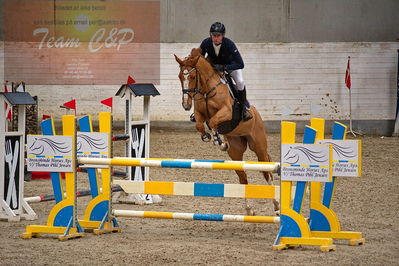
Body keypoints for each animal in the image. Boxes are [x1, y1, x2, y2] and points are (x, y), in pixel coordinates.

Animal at [175, 48, 282, 214]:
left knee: (267, 173)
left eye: (192, 76)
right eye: (180, 76)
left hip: (259, 147)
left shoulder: (226, 112)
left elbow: (213, 122)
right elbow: (200, 125)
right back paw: (249, 210)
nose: (186, 105)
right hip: (236, 152)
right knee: (243, 177)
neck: (206, 89)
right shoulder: (200, 114)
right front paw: (209, 137)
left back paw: (276, 206)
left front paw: (218, 141)